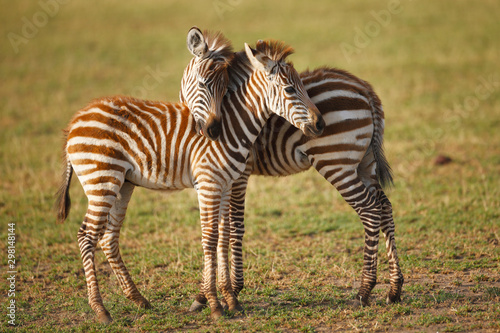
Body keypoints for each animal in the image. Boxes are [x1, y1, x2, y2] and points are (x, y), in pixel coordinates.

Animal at [55, 31, 324, 322]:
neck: (232, 126)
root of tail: (76, 119)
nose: (321, 124)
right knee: (86, 236)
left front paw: (230, 299)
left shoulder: (226, 185)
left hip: (122, 184)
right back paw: (100, 309)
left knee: (108, 238)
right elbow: (210, 238)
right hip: (101, 180)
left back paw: (139, 299)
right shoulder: (208, 184)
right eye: (290, 90)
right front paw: (215, 304)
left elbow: (224, 236)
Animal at [189, 66, 404, 310]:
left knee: (370, 210)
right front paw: (212, 294)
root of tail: (363, 87)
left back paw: (364, 291)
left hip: (336, 162)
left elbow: (233, 226)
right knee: (384, 207)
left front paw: (231, 291)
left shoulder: (239, 172)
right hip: (365, 163)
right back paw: (394, 289)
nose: (208, 130)